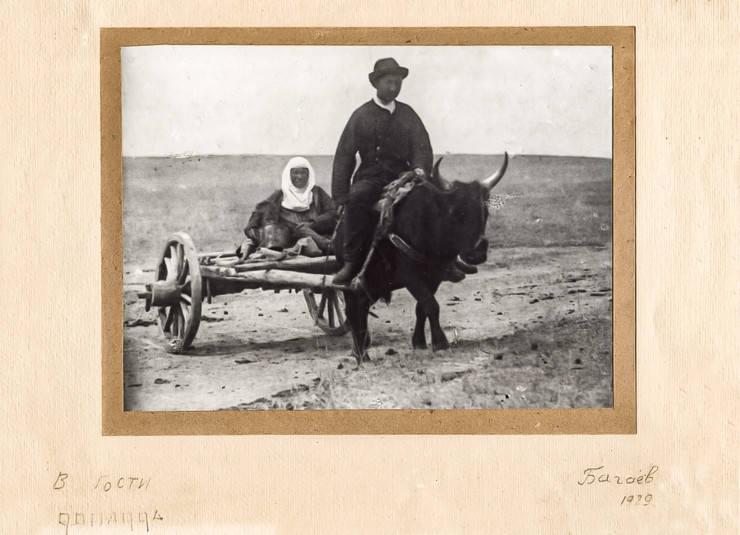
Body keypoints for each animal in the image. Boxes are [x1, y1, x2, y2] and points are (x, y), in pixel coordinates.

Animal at [336, 152, 509, 364]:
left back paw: (360, 350)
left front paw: (419, 342)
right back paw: (361, 354)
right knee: (353, 310)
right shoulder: (409, 275)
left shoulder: (434, 276)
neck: (428, 221)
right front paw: (441, 343)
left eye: (485, 212)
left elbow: (423, 307)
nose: (477, 253)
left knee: (360, 307)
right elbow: (431, 304)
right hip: (352, 281)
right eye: (455, 212)